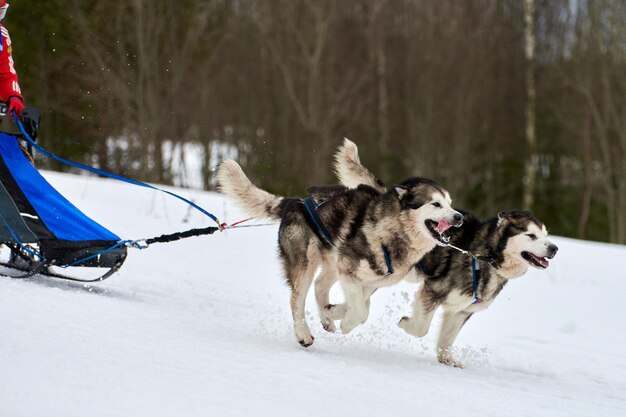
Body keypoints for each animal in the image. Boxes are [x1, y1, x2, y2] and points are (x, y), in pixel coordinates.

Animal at [217, 158, 460, 346]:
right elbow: (361, 311)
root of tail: (294, 202)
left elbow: (361, 306)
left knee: (320, 286)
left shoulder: (369, 281)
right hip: (307, 264)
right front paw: (344, 320)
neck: (391, 232)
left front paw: (333, 312)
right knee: (297, 299)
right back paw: (303, 333)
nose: (459, 217)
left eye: (450, 203)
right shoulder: (349, 271)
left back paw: (326, 318)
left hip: (332, 263)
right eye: (435, 204)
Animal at [324, 138, 560, 366]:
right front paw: (406, 323)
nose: (554, 248)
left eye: (546, 235)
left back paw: (336, 311)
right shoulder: (433, 291)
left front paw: (446, 359)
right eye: (531, 235)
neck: (483, 256)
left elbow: (448, 338)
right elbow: (421, 328)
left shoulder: (461, 310)